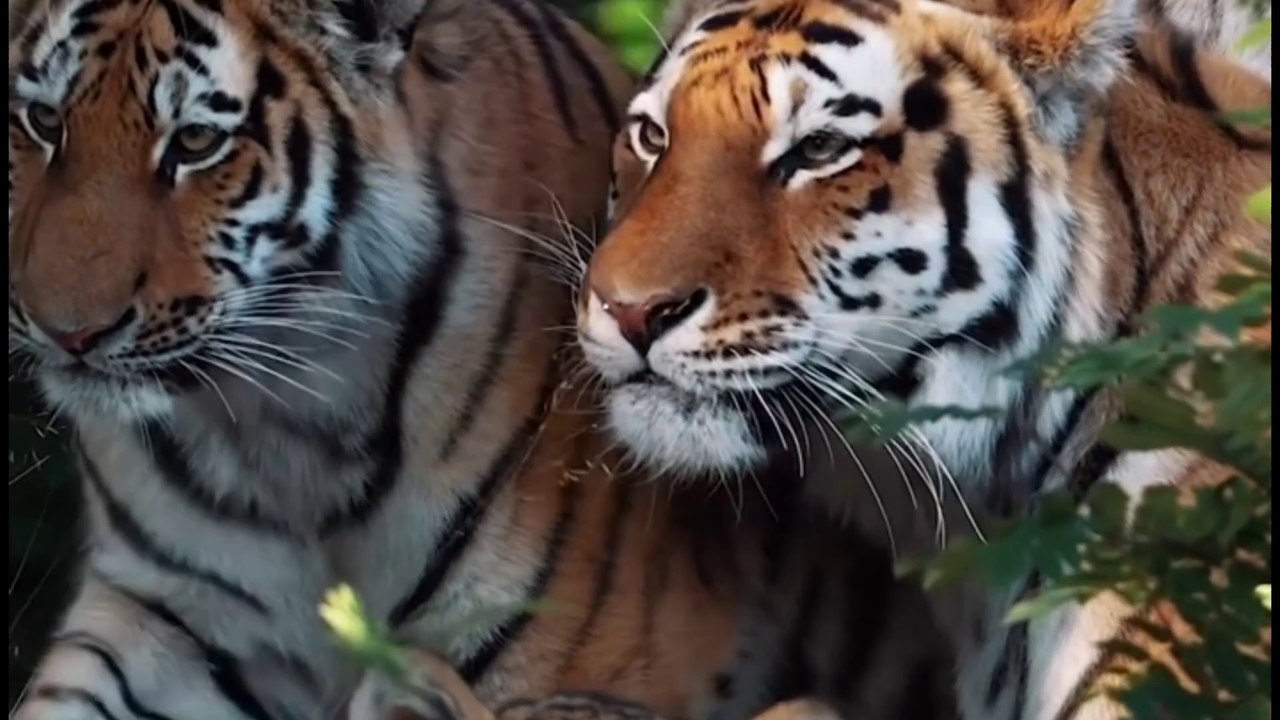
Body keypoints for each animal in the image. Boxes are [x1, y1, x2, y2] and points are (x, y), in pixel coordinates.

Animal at [7, 1, 956, 719]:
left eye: (198, 143)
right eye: (42, 123)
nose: (66, 332)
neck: (288, 438)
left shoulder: (589, 656)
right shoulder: (162, 616)